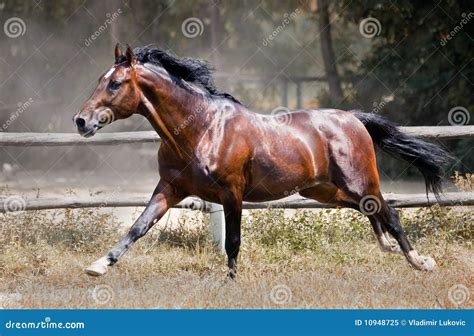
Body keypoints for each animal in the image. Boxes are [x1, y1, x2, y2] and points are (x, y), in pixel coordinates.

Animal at [72, 43, 450, 276]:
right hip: (326, 191)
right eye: (100, 80)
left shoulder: (232, 193)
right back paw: (390, 249)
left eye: (115, 84)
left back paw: (421, 261)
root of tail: (353, 119)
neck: (201, 129)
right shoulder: (169, 189)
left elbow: (233, 242)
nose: (81, 121)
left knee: (390, 213)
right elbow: (138, 226)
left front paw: (231, 283)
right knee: (372, 212)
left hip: (360, 182)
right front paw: (98, 265)